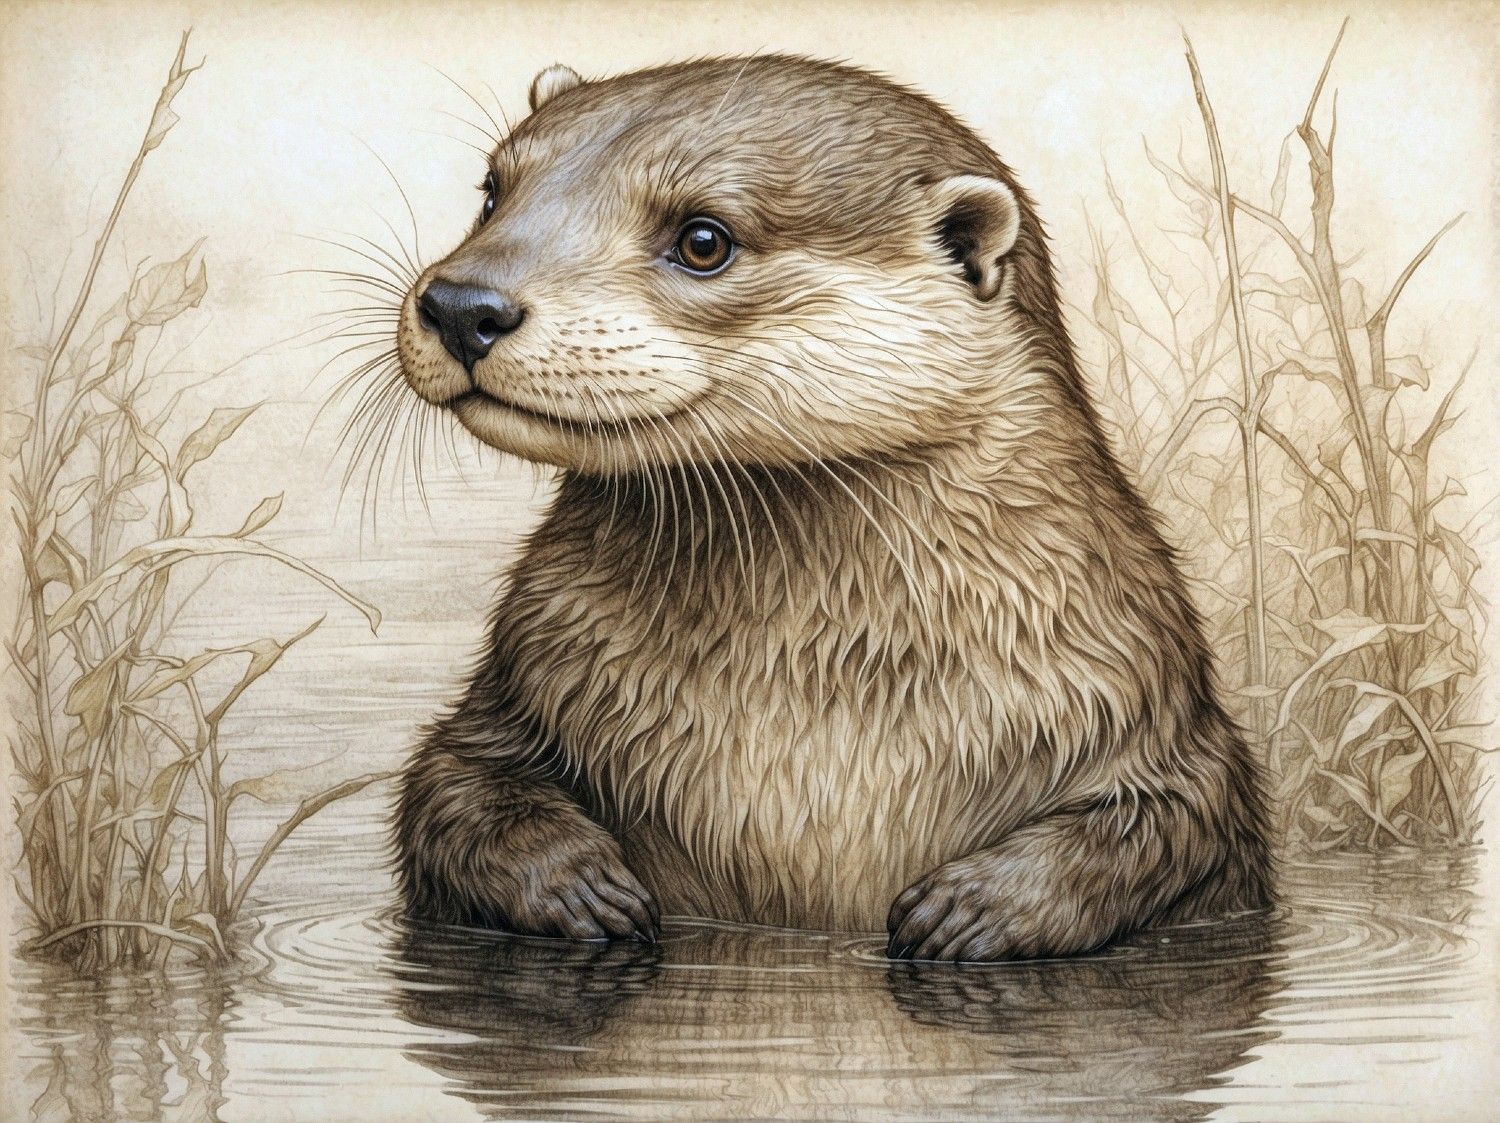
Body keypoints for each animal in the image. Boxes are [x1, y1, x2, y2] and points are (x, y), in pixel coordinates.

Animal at [390, 56, 1271, 961]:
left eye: (703, 239)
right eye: (492, 193)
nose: (463, 304)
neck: (814, 680)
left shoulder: (1146, 700)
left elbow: (1176, 821)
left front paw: (974, 907)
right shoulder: (514, 691)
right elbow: (452, 787)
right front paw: (580, 886)